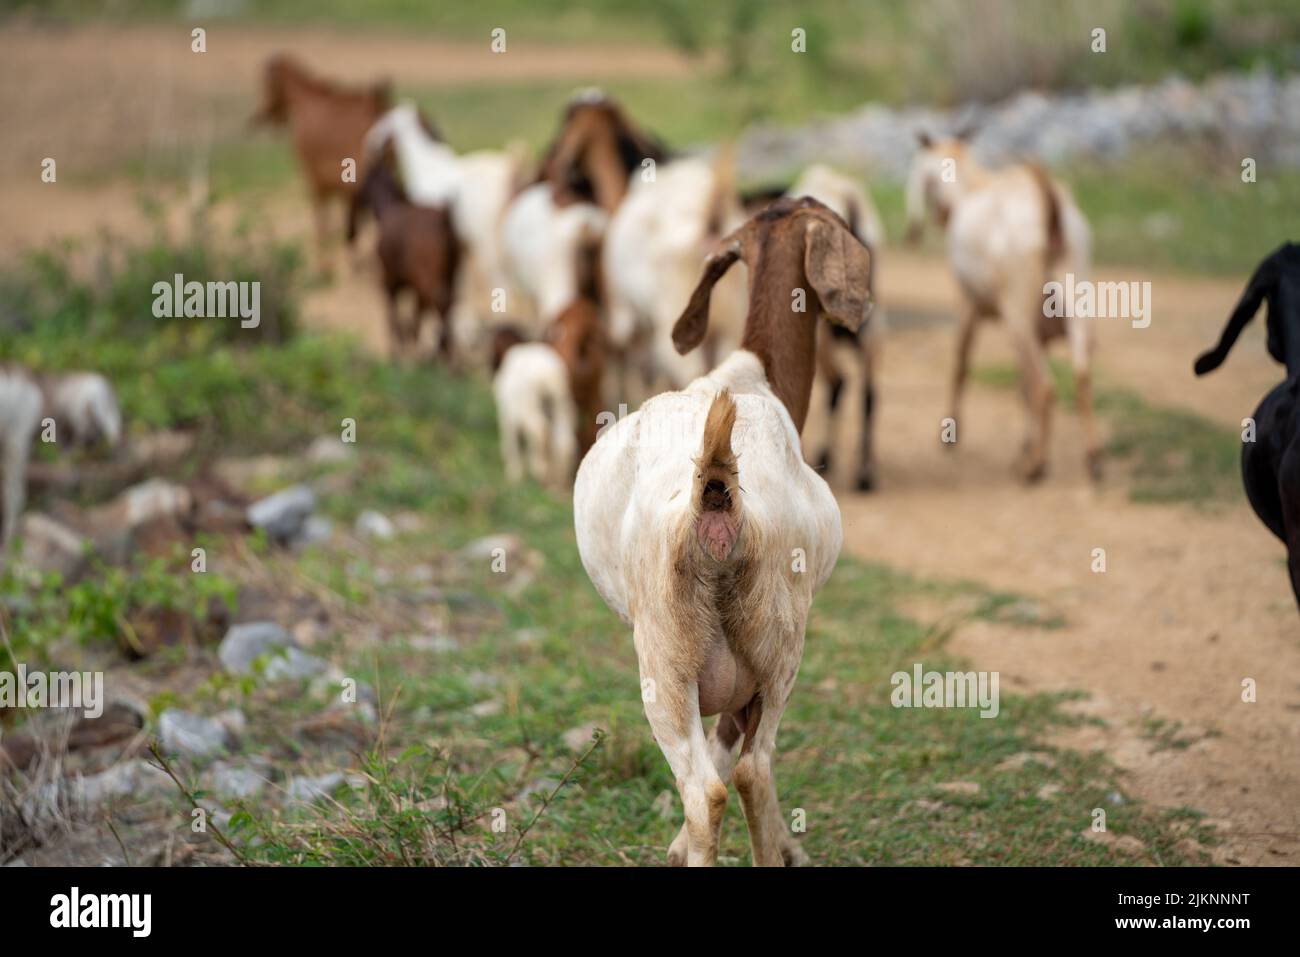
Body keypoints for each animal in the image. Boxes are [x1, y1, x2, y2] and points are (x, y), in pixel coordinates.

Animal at [572, 196, 868, 868]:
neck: (754, 375)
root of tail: (715, 489)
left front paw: (676, 849)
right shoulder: (747, 678)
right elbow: (732, 752)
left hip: (682, 658)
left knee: (714, 781)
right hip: (764, 648)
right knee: (741, 776)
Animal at [909, 130, 1102, 481]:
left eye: (924, 175)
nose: (936, 216)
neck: (972, 185)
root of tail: (1049, 205)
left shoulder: (967, 303)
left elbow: (961, 363)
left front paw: (950, 436)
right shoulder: (1040, 332)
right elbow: (1020, 386)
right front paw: (1024, 445)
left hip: (1017, 313)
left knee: (1044, 386)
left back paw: (1035, 466)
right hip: (1075, 294)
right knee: (1080, 373)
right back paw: (1092, 457)